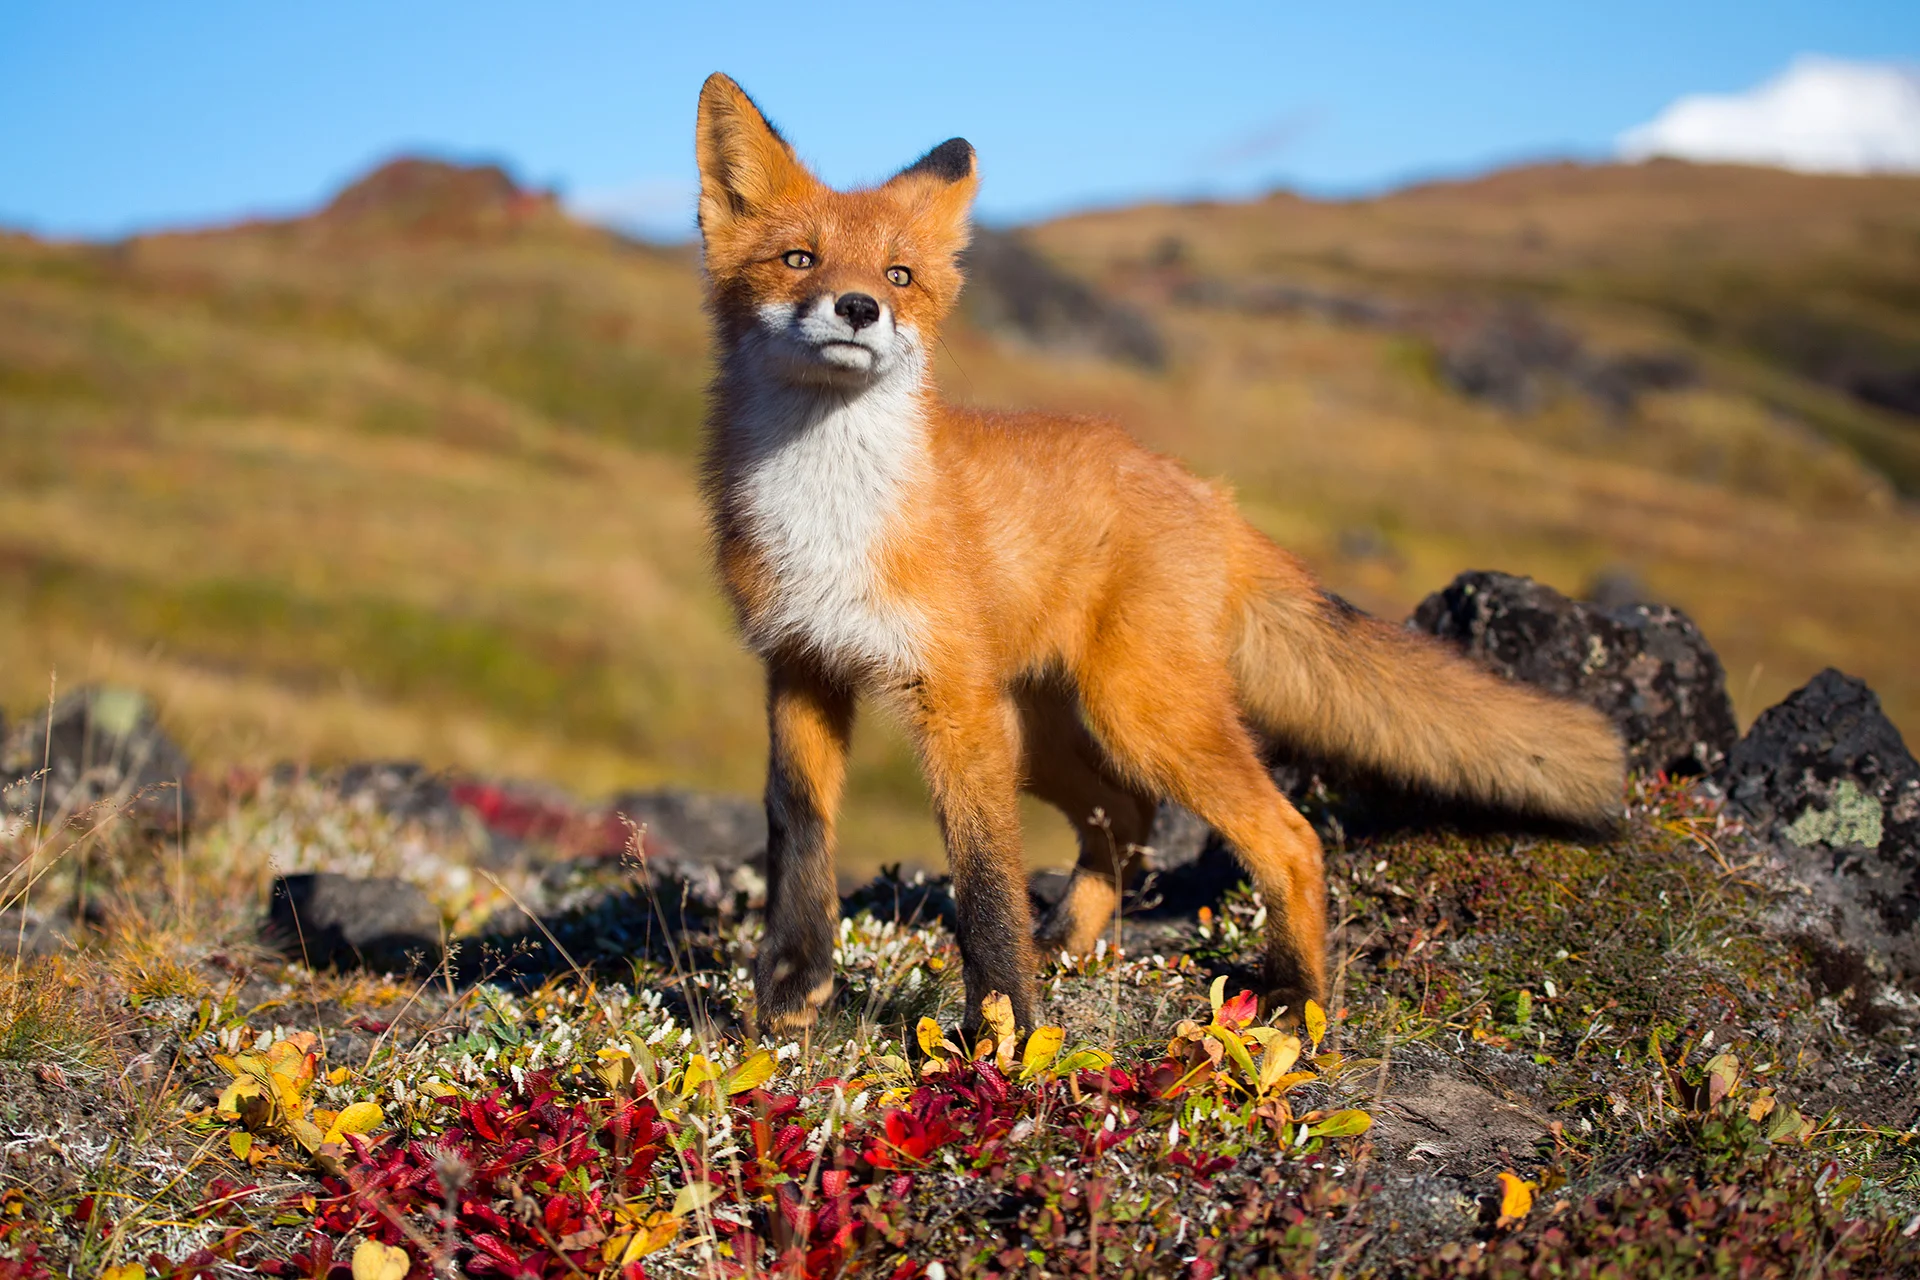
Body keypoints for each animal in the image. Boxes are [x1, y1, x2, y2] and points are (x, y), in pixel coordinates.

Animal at [692, 73, 1626, 1042]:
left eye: (898, 276)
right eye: (800, 259)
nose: (859, 308)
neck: (831, 519)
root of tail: (1213, 496)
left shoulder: (950, 702)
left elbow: (984, 883)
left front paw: (1006, 1036)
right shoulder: (802, 667)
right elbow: (799, 834)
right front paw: (790, 991)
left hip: (1132, 715)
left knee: (1290, 838)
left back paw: (1296, 1007)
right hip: (1049, 734)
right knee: (1130, 817)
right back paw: (1071, 943)